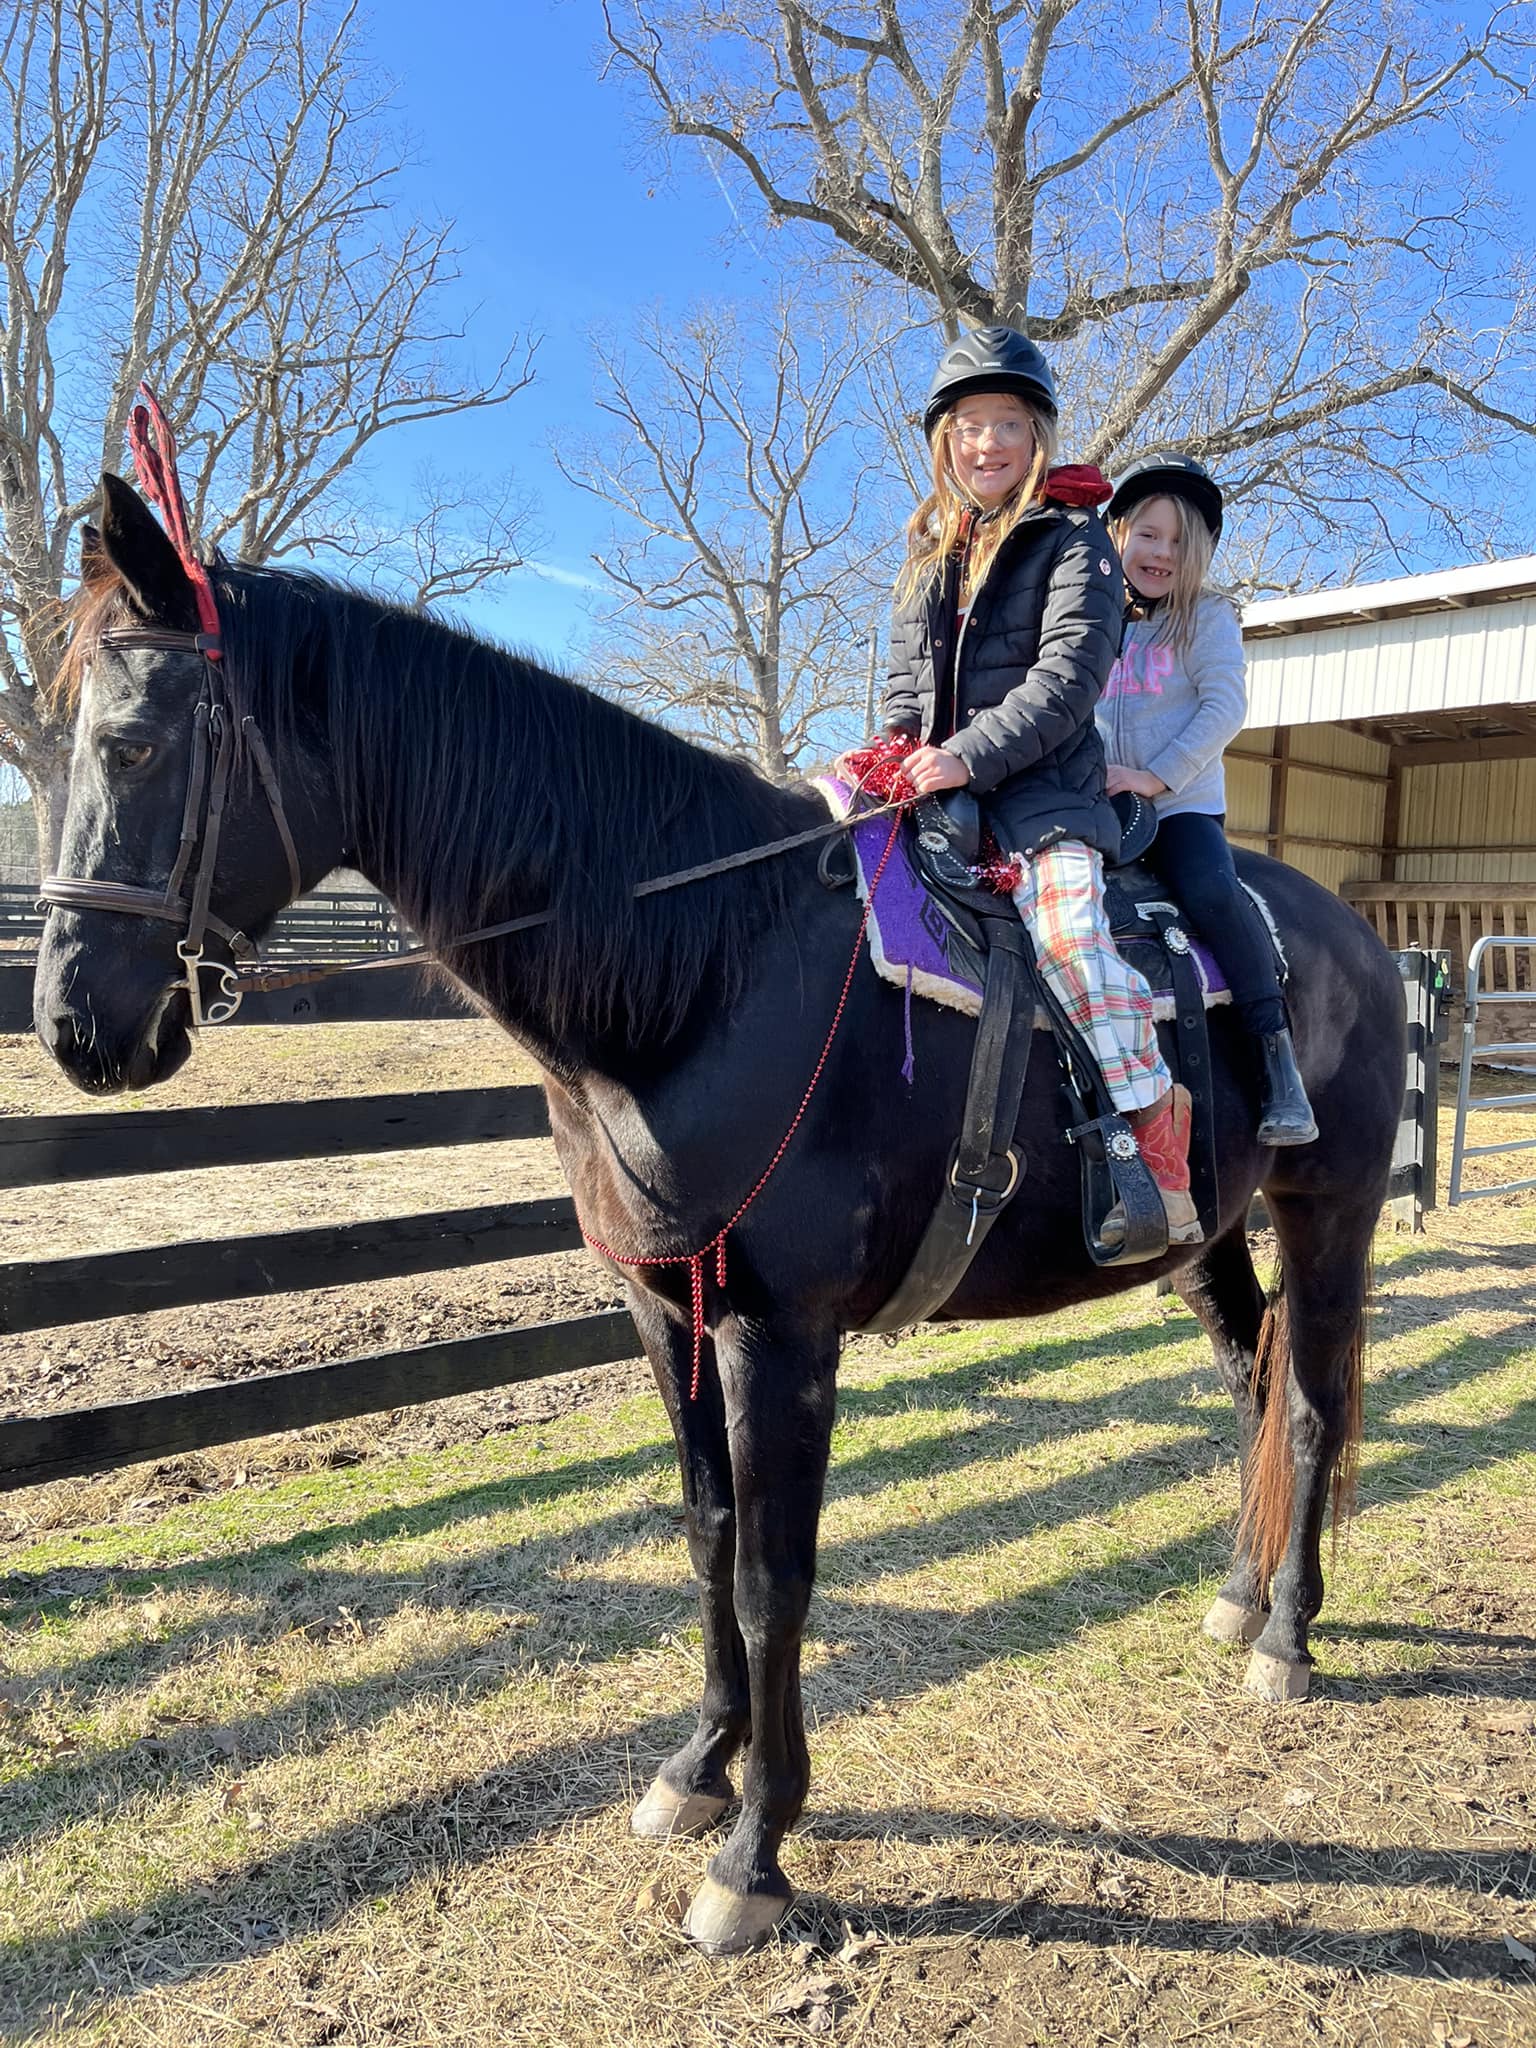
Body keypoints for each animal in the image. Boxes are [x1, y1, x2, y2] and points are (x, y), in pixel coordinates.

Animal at [33, 475, 1409, 1949]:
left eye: (127, 747)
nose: (71, 1025)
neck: (708, 971)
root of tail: (1362, 940)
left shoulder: (780, 1337)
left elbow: (772, 1573)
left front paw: (754, 1850)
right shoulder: (664, 1311)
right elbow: (705, 1535)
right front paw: (696, 1768)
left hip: (1328, 1209)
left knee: (1312, 1401)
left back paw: (1289, 1635)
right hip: (1204, 1236)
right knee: (1253, 1379)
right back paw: (1240, 1597)